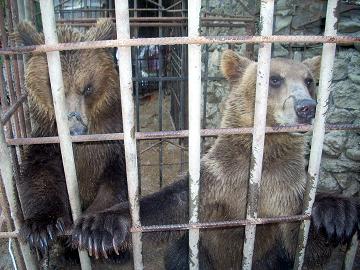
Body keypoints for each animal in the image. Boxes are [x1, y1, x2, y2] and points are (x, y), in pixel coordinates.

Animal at [16, 19, 130, 258]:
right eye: (52, 86)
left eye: (87, 87)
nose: (76, 130)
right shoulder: (47, 138)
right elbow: (40, 173)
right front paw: (40, 227)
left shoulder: (111, 138)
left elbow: (117, 178)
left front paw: (96, 229)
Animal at [71, 50, 360, 268]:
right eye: (275, 79)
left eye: (309, 80)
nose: (306, 107)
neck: (263, 157)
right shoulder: (218, 181)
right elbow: (168, 204)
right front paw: (99, 226)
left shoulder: (284, 193)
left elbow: (303, 246)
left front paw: (337, 213)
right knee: (181, 255)